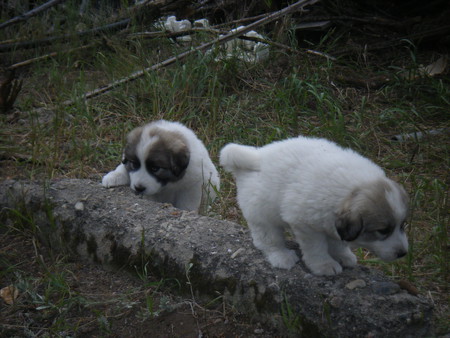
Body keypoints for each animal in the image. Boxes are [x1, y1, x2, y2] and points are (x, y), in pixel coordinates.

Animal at [220, 136, 410, 276]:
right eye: (383, 231)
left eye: (402, 225)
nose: (403, 254)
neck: (352, 190)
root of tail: (256, 157)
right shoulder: (306, 225)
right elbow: (316, 248)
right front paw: (324, 265)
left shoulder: (332, 223)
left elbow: (338, 242)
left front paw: (343, 256)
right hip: (263, 214)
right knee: (268, 240)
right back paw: (282, 256)